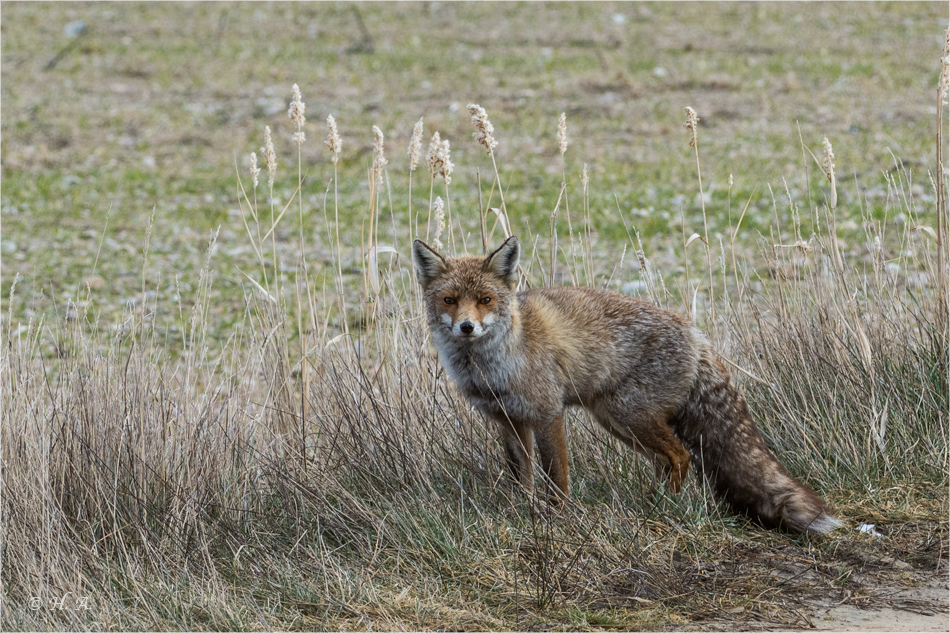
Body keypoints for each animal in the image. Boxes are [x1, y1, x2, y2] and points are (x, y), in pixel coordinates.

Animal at [412, 235, 844, 532]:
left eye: (485, 300)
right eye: (450, 300)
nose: (467, 327)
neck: (491, 367)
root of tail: (696, 334)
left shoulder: (548, 414)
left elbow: (557, 476)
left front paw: (559, 518)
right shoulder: (508, 421)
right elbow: (523, 476)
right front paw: (523, 510)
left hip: (628, 415)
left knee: (680, 456)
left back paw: (661, 509)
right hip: (619, 422)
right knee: (666, 460)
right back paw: (651, 506)